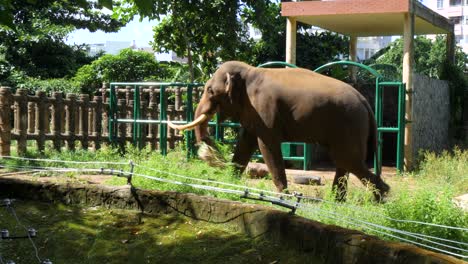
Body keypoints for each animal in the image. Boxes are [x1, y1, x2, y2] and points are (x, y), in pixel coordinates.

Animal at [170, 60, 390, 201]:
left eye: (209, 90)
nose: (207, 152)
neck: (249, 71)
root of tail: (366, 103)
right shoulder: (252, 111)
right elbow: (245, 143)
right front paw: (229, 184)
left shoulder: (263, 108)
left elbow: (266, 145)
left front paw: (283, 196)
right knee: (343, 162)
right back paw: (337, 201)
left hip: (350, 125)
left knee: (348, 160)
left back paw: (381, 200)